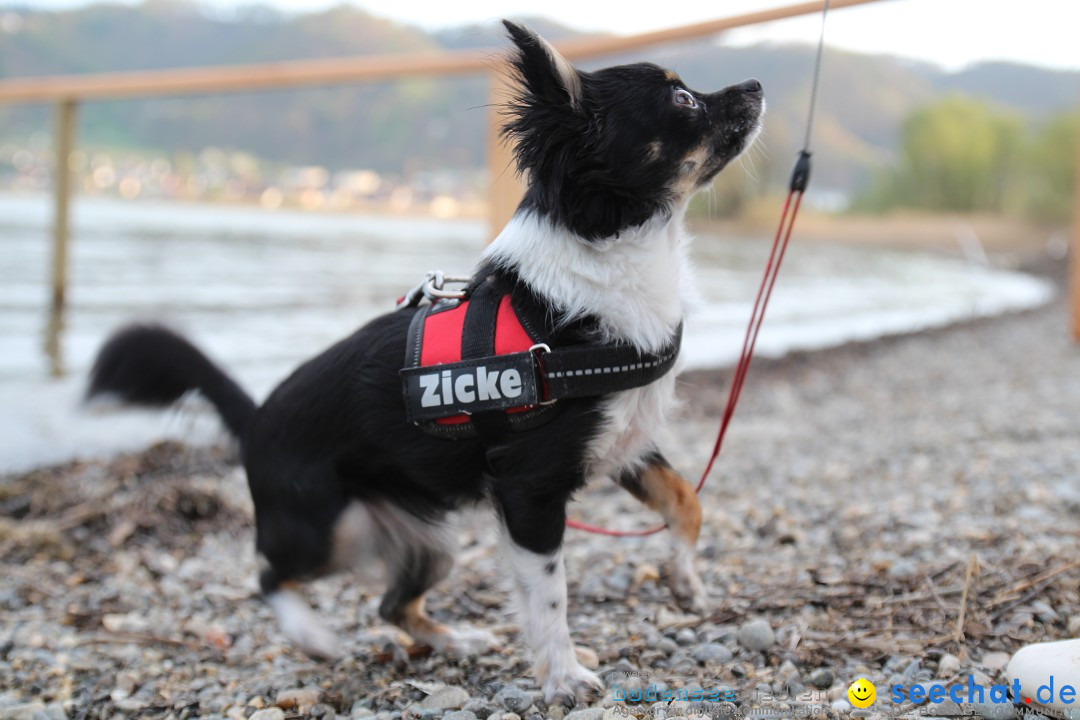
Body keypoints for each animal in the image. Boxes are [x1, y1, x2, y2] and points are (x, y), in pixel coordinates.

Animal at [88, 22, 764, 708]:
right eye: (681, 100)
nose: (758, 83)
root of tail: (254, 416)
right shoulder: (530, 492)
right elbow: (550, 596)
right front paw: (563, 676)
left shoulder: (624, 445)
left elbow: (687, 502)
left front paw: (683, 579)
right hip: (330, 529)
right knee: (270, 574)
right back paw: (313, 635)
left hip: (431, 540)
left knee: (390, 604)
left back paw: (453, 640)